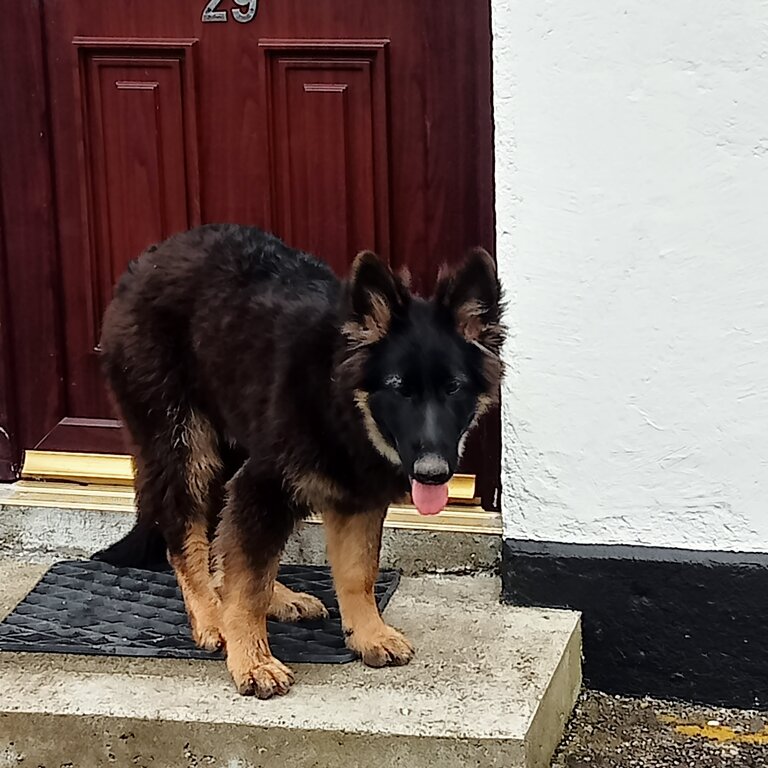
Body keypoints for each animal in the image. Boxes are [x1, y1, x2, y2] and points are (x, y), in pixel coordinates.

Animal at [96, 222, 504, 696]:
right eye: (399, 388)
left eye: (454, 388)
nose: (433, 474)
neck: (338, 398)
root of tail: (146, 261)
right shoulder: (263, 483)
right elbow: (249, 584)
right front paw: (253, 660)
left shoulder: (357, 499)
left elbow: (357, 571)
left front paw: (368, 633)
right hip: (185, 448)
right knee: (186, 533)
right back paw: (212, 616)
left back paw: (272, 598)